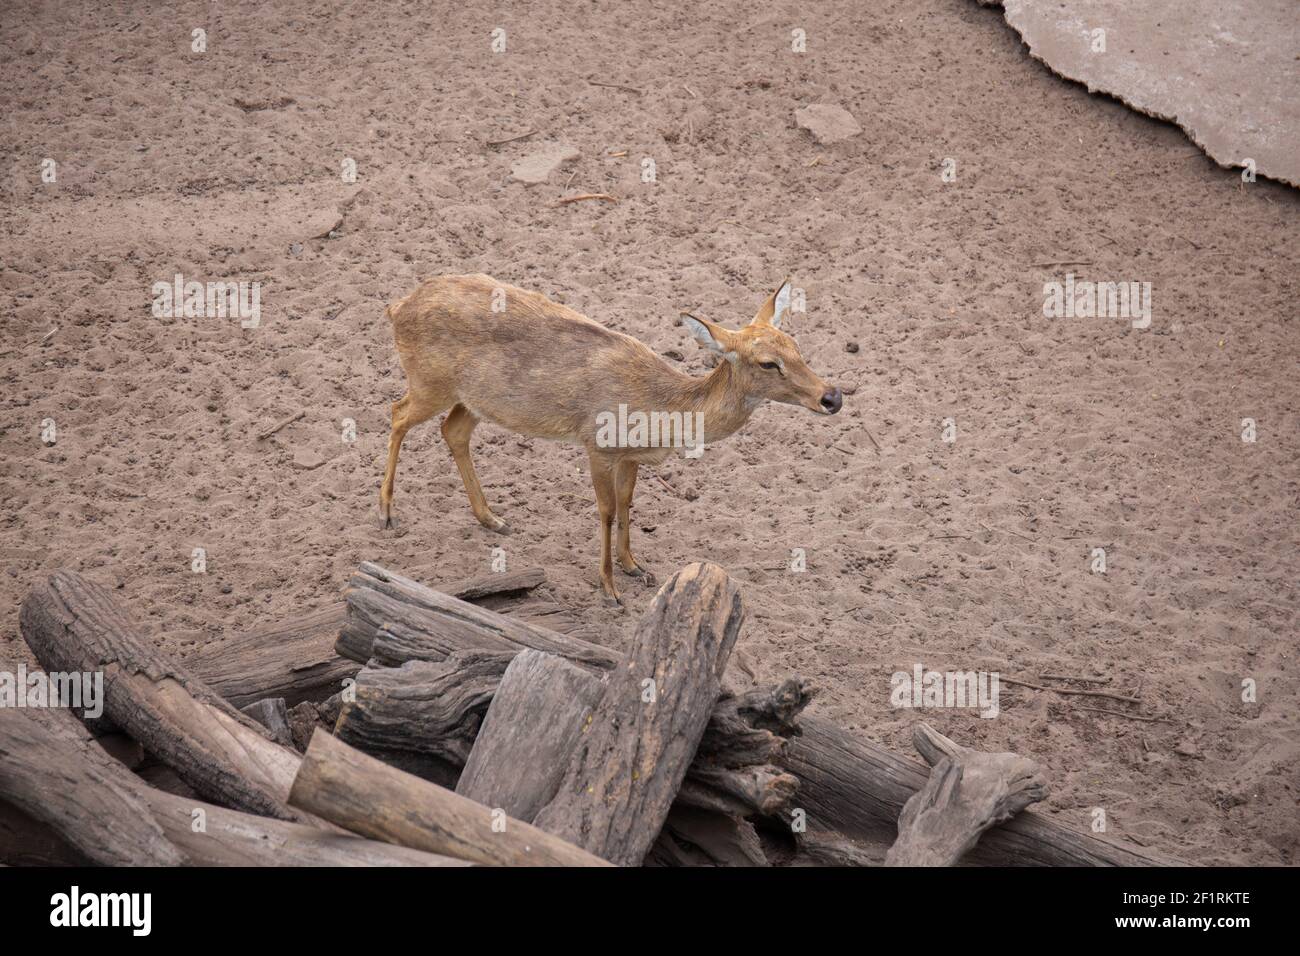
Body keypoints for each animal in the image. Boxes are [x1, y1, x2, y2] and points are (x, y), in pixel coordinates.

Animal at [379, 274, 843, 604]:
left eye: (795, 344)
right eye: (767, 363)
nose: (832, 397)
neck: (658, 413)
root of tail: (397, 306)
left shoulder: (630, 456)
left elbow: (626, 503)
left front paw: (635, 566)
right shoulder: (597, 443)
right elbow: (604, 510)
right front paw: (609, 588)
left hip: (472, 400)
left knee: (452, 431)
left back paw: (492, 518)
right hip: (429, 382)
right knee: (397, 413)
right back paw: (386, 513)